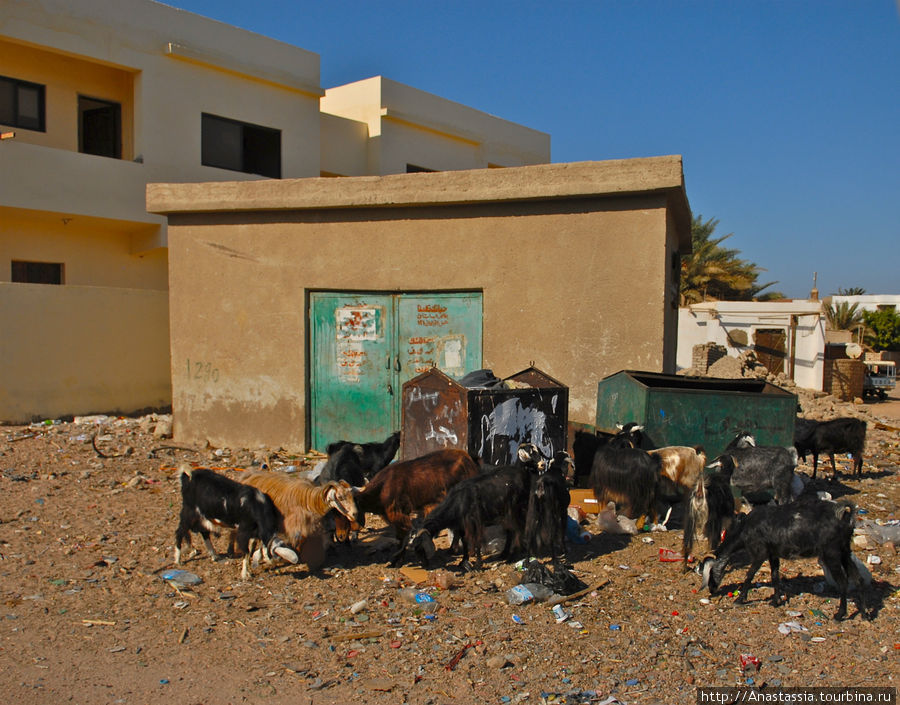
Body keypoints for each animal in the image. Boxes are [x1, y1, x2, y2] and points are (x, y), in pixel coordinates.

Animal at [696, 496, 872, 620]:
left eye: (709, 572)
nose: (711, 589)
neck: (744, 528)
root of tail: (846, 516)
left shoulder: (760, 553)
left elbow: (749, 575)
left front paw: (740, 599)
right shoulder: (773, 554)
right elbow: (775, 576)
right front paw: (775, 601)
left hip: (832, 553)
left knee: (843, 582)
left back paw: (840, 614)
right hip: (845, 551)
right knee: (858, 579)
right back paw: (865, 614)